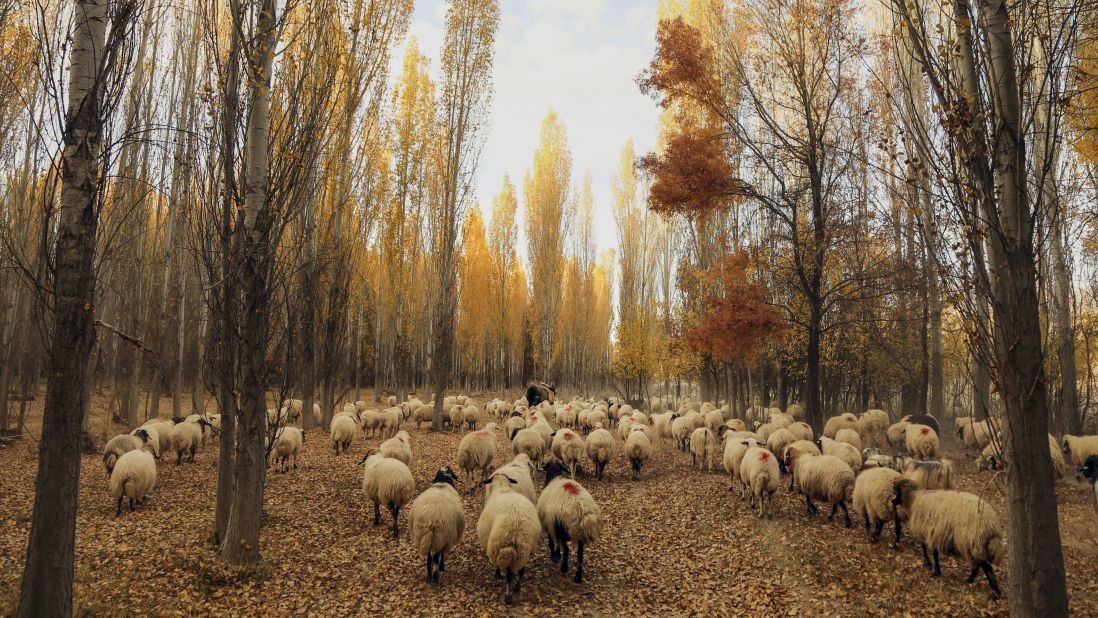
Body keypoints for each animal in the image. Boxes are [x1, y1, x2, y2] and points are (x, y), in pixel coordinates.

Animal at [478, 469, 542, 605]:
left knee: (508, 574)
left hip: (501, 547)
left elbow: (497, 566)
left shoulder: (492, 547)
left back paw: (508, 596)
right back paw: (517, 586)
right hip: (525, 551)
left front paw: (497, 574)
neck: (503, 488)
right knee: (521, 570)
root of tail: (516, 531)